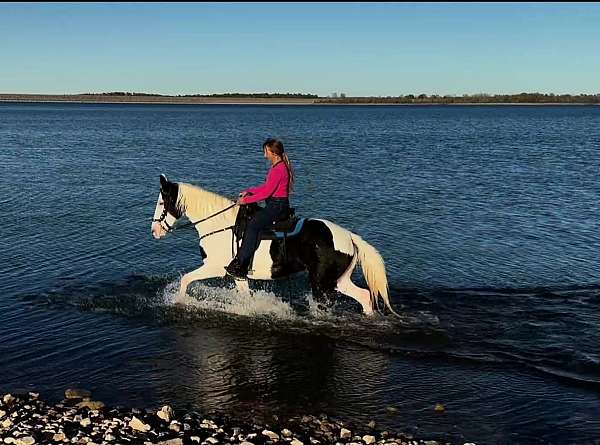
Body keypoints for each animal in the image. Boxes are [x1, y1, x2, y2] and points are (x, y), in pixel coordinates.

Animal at [150, 173, 396, 316]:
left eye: (162, 202)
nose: (154, 231)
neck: (219, 224)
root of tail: (349, 237)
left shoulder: (215, 268)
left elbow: (186, 279)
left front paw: (179, 302)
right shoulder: (238, 275)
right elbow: (245, 298)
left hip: (322, 283)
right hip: (338, 280)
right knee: (365, 297)